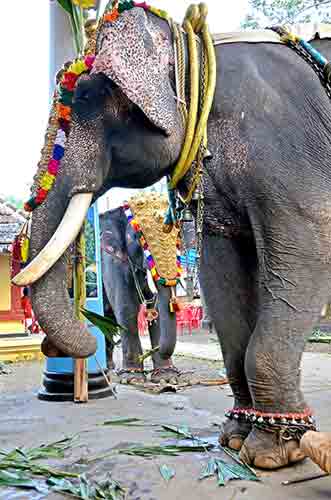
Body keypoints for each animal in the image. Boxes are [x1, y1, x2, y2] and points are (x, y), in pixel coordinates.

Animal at [100, 193, 182, 384]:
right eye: (138, 236)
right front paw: (133, 378)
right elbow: (127, 307)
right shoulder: (111, 259)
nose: (152, 351)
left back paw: (110, 368)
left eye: (178, 236)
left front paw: (166, 378)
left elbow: (156, 307)